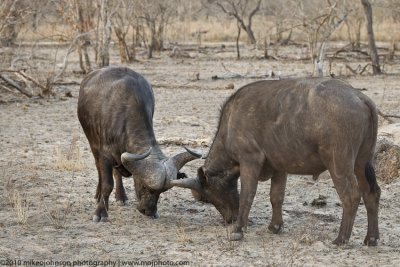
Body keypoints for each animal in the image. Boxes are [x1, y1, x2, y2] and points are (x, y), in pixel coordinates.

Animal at [77, 66, 202, 222]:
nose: (149, 211)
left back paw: (121, 196)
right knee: (98, 168)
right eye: (144, 186)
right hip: (92, 142)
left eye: (162, 191)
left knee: (116, 172)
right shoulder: (105, 154)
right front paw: (101, 212)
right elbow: (107, 184)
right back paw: (99, 194)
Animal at [170, 78, 382, 247]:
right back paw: (371, 238)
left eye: (207, 198)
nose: (230, 219)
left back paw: (341, 238)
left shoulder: (250, 161)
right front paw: (275, 226)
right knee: (371, 193)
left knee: (351, 195)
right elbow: (276, 197)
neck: (231, 121)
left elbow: (248, 194)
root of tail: (360, 97)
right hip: (362, 163)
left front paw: (238, 229)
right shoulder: (280, 168)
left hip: (339, 164)